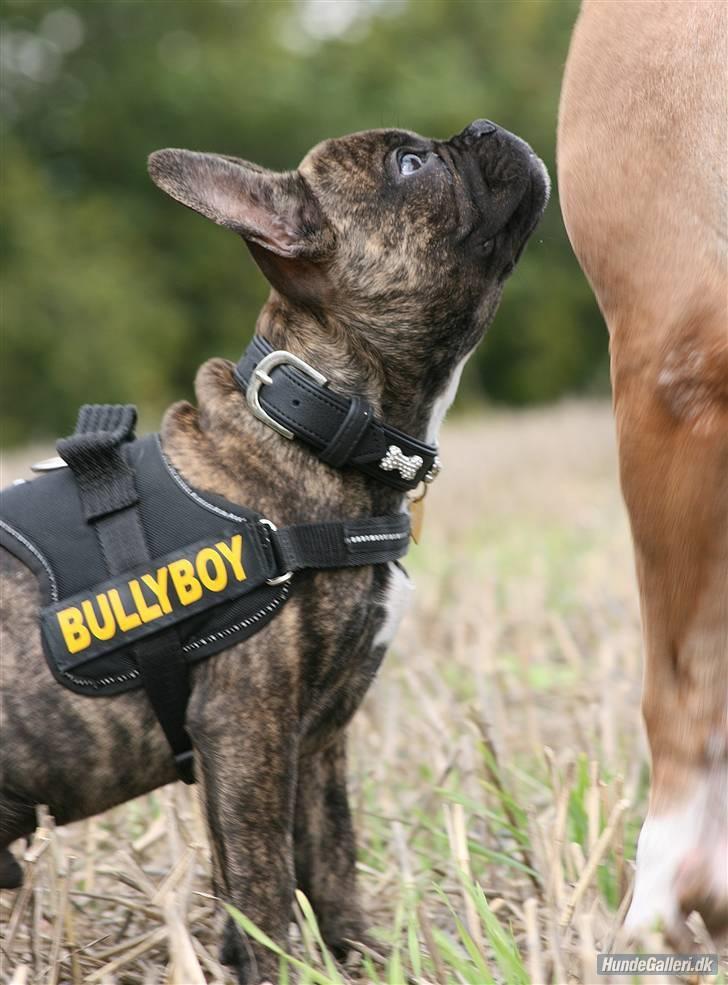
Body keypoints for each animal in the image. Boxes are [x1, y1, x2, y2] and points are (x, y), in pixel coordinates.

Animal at [0, 123, 544, 984]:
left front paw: (367, 957)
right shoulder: (246, 728)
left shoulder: (317, 743)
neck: (313, 425)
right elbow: (263, 880)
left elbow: (330, 858)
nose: (486, 130)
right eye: (411, 165)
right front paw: (278, 964)